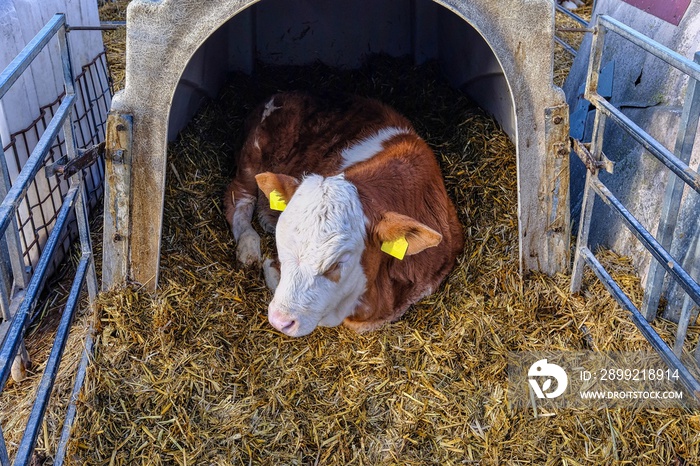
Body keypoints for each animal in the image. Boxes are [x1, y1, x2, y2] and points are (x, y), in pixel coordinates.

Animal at [226, 92, 464, 338]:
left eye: (336, 264)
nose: (279, 320)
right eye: (281, 246)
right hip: (252, 155)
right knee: (238, 198)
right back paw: (248, 246)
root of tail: (286, 93)